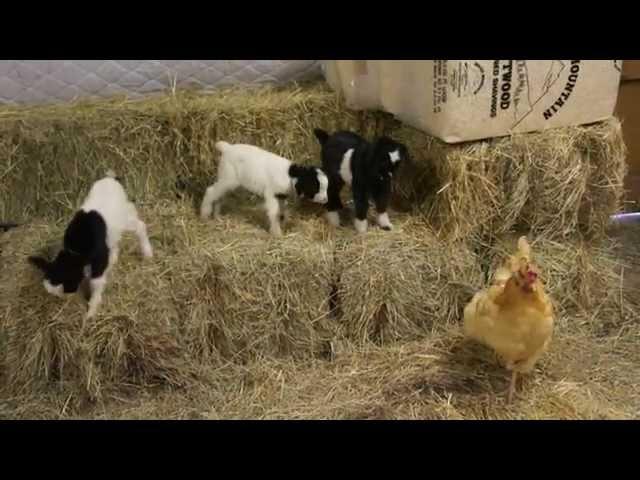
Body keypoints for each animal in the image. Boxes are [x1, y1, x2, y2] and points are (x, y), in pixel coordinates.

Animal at [28, 171, 154, 320]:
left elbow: (96, 282)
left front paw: (91, 311)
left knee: (140, 226)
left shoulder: (98, 260)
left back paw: (147, 253)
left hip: (125, 216)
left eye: (69, 285)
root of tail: (111, 179)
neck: (75, 251)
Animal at [200, 141, 330, 236]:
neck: (290, 175)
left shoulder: (281, 195)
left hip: (227, 178)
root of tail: (227, 148)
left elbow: (281, 212)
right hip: (228, 177)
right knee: (211, 191)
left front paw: (282, 224)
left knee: (219, 196)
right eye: (315, 186)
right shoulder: (271, 193)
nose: (325, 200)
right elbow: (274, 213)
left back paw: (217, 216)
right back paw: (204, 214)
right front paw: (277, 233)